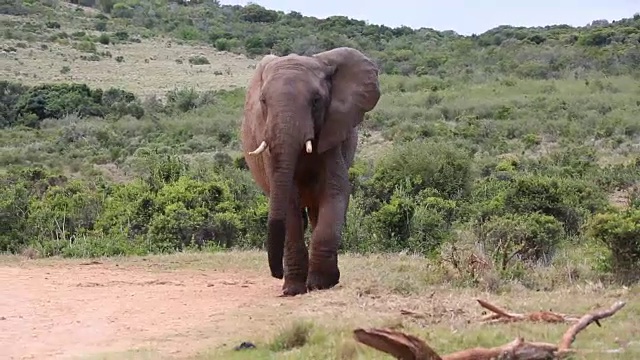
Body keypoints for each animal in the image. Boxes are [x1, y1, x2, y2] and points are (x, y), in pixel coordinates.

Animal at [240, 46, 380, 296]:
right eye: (263, 101)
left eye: (316, 101)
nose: (276, 274)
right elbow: (288, 202)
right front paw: (293, 290)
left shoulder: (331, 132)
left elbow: (335, 191)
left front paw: (321, 284)